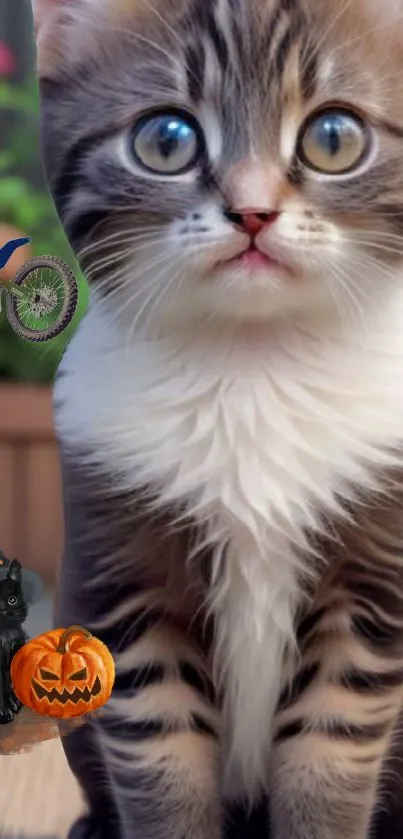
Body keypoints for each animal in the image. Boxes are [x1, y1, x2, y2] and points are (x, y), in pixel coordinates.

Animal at [32, 1, 403, 839]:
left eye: (333, 136)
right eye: (165, 140)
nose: (253, 211)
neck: (251, 361)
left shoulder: (368, 591)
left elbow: (330, 750)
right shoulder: (127, 583)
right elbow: (160, 755)